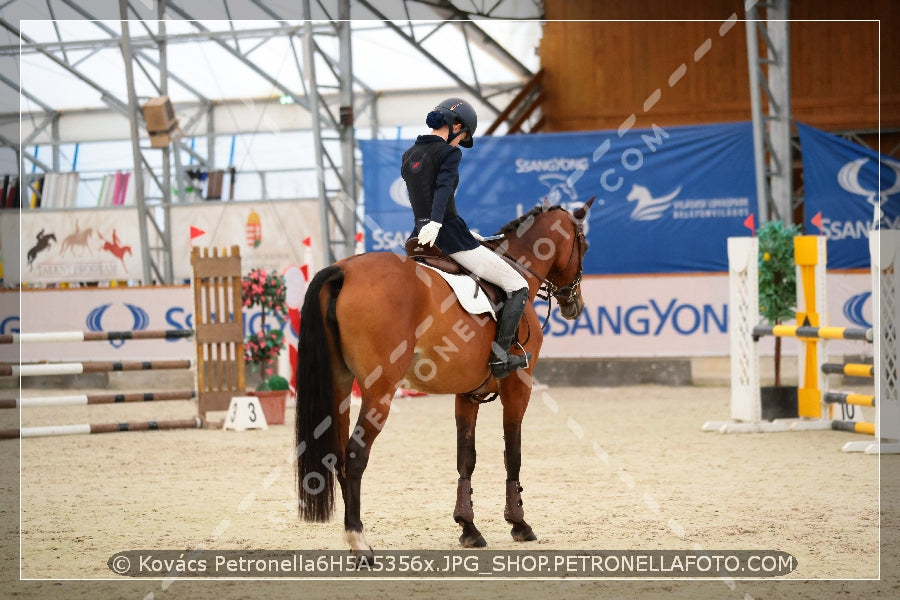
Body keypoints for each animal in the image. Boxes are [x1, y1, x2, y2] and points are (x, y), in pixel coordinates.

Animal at [294, 197, 592, 556]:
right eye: (584, 245)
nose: (574, 304)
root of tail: (344, 270)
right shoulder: (518, 387)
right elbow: (513, 453)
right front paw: (519, 523)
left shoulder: (468, 393)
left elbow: (466, 458)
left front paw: (469, 528)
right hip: (379, 391)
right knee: (355, 455)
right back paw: (359, 540)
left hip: (339, 386)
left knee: (337, 453)